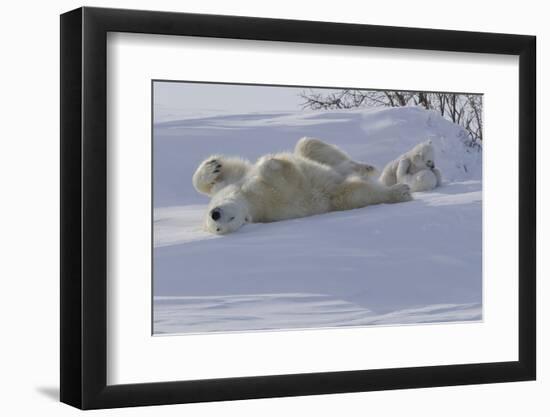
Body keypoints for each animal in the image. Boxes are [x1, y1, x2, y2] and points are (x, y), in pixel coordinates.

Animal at [192, 136, 412, 234]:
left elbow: (218, 177)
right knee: (355, 193)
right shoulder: (274, 201)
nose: (215, 214)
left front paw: (213, 166)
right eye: (218, 227)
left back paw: (365, 167)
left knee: (309, 145)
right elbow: (289, 179)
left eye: (229, 217)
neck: (248, 199)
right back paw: (399, 191)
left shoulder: (233, 183)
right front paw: (271, 163)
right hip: (335, 198)